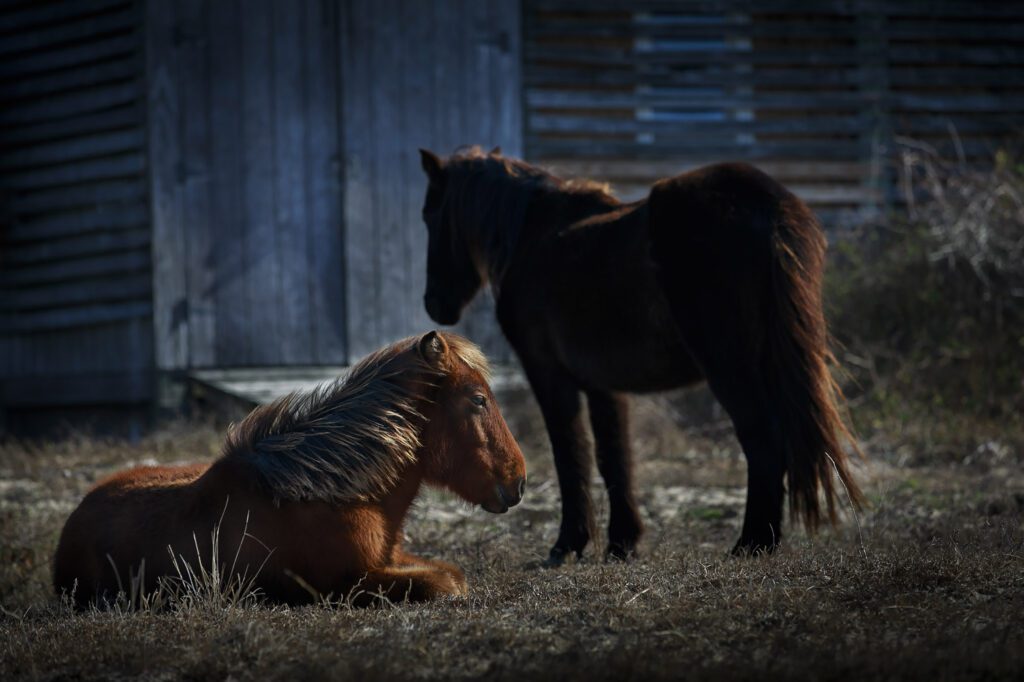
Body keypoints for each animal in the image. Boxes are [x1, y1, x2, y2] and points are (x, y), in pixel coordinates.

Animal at [54, 331, 528, 602]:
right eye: (478, 400)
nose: (519, 482)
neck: (334, 491)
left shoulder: (391, 558)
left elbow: (451, 572)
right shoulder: (349, 582)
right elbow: (445, 583)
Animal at [419, 146, 860, 561]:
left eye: (428, 214)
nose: (434, 304)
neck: (532, 236)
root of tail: (769, 204)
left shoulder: (548, 375)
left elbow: (570, 454)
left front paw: (568, 544)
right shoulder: (602, 385)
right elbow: (615, 458)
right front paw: (622, 543)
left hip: (730, 368)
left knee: (763, 439)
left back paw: (752, 542)